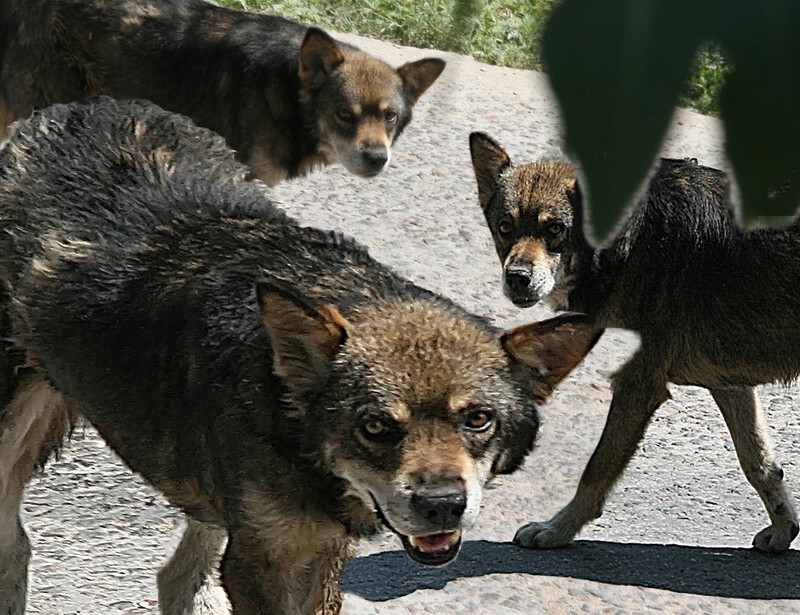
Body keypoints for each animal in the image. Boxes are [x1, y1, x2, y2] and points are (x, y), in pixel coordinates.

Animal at [0, 98, 596, 612]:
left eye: (478, 420)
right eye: (375, 426)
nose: (443, 505)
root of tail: (70, 108)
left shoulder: (317, 549)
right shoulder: (263, 562)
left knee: (176, 576)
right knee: (17, 547)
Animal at [468, 132, 800, 556]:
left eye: (555, 229)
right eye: (506, 227)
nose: (517, 278)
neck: (628, 240)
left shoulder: (636, 386)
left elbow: (596, 469)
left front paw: (558, 530)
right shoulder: (730, 385)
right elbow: (759, 464)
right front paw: (783, 528)